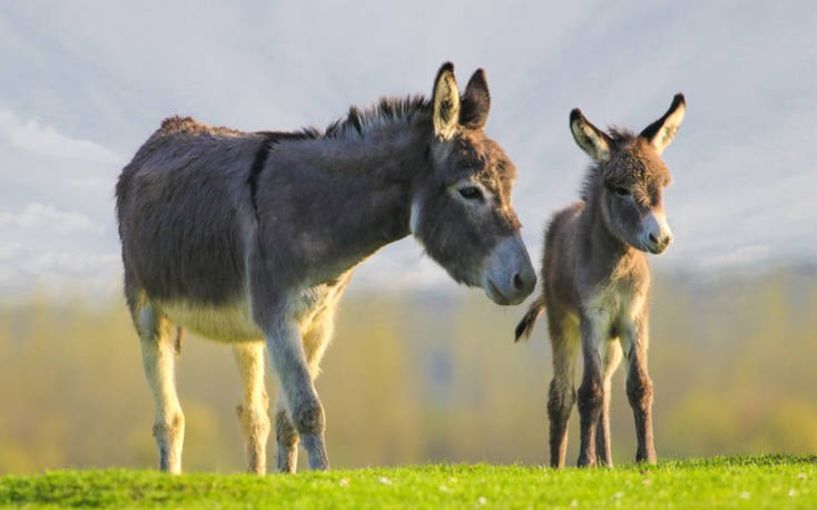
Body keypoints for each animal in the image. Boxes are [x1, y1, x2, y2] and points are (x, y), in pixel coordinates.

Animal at [516, 94, 684, 466]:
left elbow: (639, 387)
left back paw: (607, 461)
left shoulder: (634, 319)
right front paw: (584, 461)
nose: (661, 238)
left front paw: (646, 457)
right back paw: (560, 464)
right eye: (620, 190)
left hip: (611, 340)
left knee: (606, 390)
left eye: (662, 186)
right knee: (562, 394)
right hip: (564, 322)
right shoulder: (592, 318)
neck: (618, 265)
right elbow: (587, 393)